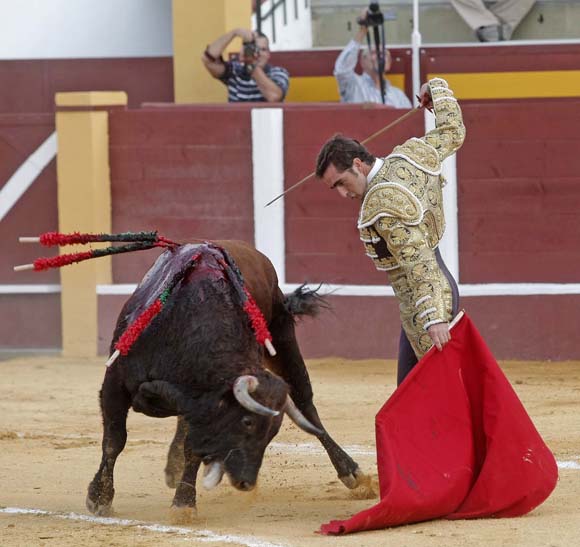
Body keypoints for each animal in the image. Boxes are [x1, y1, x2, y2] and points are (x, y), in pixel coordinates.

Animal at [85, 241, 368, 520]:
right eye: (247, 421)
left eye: (272, 434)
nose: (246, 482)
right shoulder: (115, 383)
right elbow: (114, 440)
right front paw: (99, 498)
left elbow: (193, 447)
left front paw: (184, 504)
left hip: (283, 336)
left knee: (305, 405)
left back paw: (352, 472)